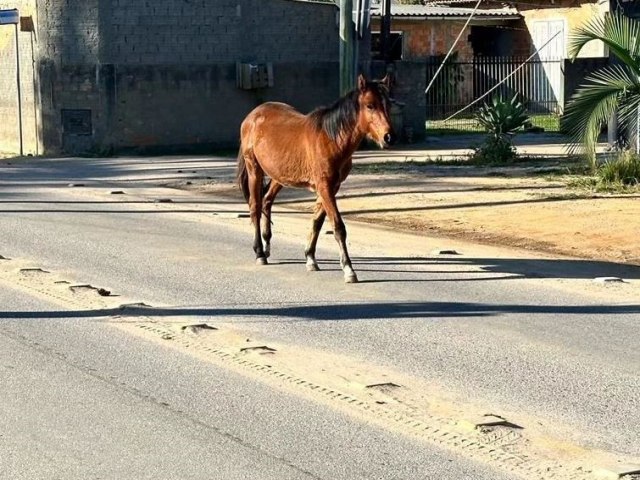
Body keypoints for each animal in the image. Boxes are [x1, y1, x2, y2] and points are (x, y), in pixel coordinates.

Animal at [236, 75, 396, 284]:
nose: (389, 137)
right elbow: (338, 227)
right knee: (255, 206)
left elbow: (317, 222)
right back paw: (260, 253)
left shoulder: (331, 187)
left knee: (266, 201)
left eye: (389, 105)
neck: (331, 139)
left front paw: (310, 258)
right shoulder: (324, 186)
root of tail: (251, 116)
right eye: (370, 105)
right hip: (254, 169)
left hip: (279, 175)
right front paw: (349, 270)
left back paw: (267, 244)